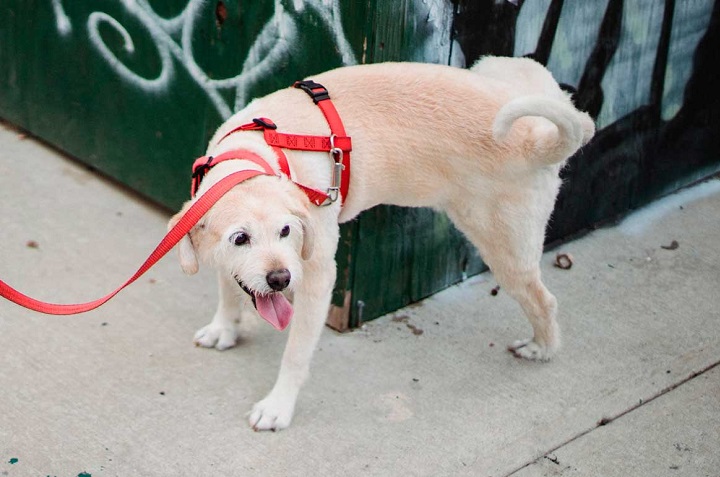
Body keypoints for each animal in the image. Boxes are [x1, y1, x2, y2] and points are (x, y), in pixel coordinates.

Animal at [169, 56, 596, 432]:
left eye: (287, 231)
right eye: (240, 238)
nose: (280, 280)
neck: (256, 155)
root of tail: (534, 138)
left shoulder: (318, 277)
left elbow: (295, 353)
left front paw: (278, 407)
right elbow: (229, 289)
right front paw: (224, 329)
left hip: (505, 248)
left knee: (543, 301)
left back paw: (542, 349)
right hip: (502, 67)